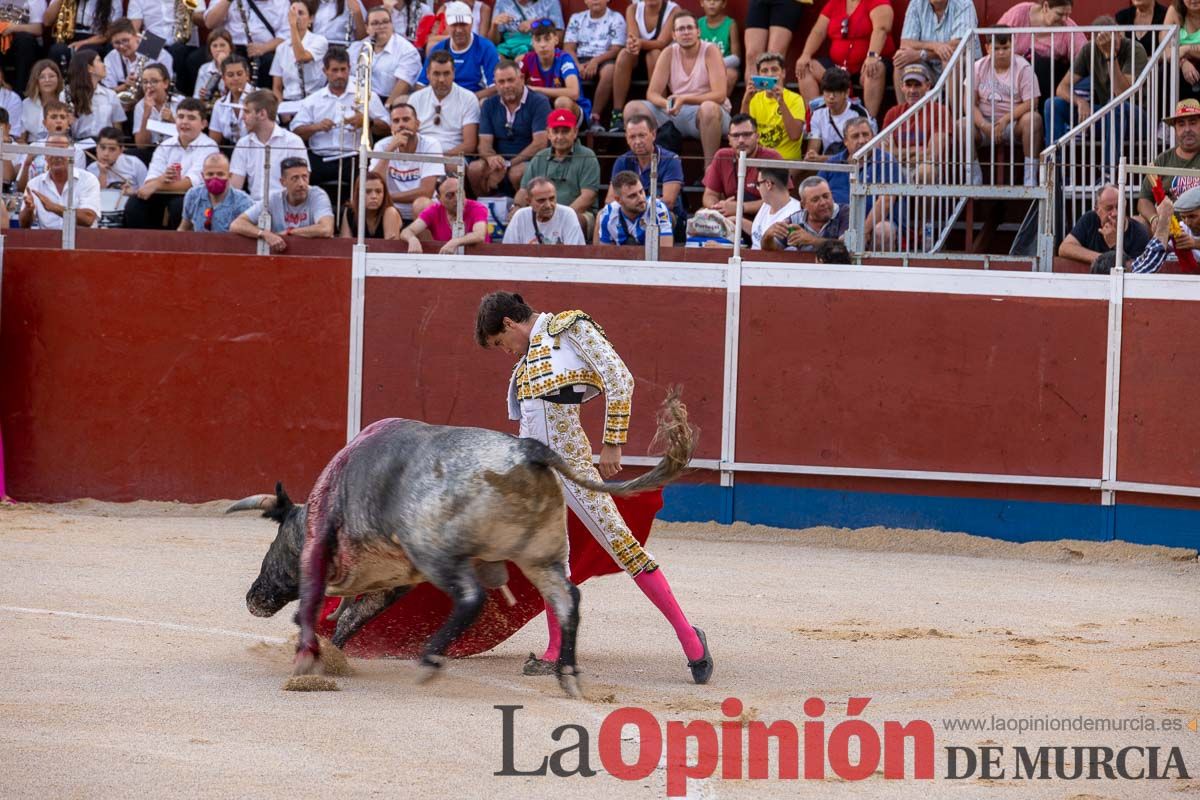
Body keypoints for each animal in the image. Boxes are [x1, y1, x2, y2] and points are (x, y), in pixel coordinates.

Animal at [229, 393, 696, 695]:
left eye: (275, 544)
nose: (253, 597)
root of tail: (529, 451)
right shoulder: (391, 580)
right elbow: (349, 618)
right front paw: (330, 657)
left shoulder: (331, 555)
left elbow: (317, 610)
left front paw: (309, 661)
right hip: (539, 555)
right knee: (566, 600)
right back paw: (566, 673)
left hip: (439, 552)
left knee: (471, 597)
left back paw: (431, 660)